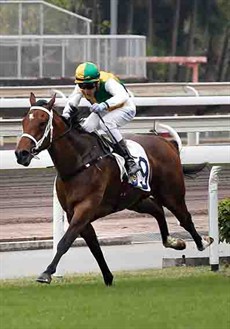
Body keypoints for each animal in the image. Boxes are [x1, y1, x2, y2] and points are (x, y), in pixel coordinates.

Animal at [14, 93, 214, 284]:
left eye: (41, 123)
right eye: (24, 121)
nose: (20, 154)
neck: (80, 163)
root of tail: (167, 143)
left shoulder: (84, 209)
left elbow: (65, 241)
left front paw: (47, 273)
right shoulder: (75, 214)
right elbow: (94, 247)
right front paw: (108, 277)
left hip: (171, 193)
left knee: (185, 218)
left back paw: (203, 242)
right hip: (134, 200)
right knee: (157, 209)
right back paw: (173, 241)